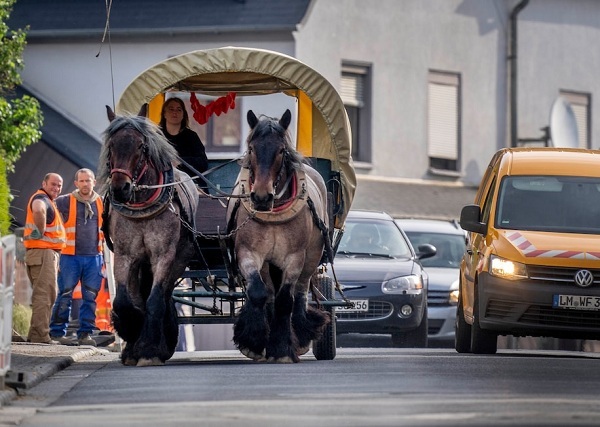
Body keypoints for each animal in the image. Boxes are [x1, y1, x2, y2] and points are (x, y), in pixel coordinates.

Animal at [99, 106, 198, 368]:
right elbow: (124, 300)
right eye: (111, 145)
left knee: (163, 295)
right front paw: (131, 332)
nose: (120, 188)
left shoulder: (164, 255)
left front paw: (149, 349)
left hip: (178, 259)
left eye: (141, 146)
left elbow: (154, 300)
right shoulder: (125, 254)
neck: (143, 206)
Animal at [226, 108, 330, 362]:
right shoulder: (249, 253)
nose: (261, 197)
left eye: (281, 150)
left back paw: (300, 334)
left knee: (300, 292)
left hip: (312, 256)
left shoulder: (295, 258)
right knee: (270, 294)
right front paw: (254, 340)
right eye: (252, 148)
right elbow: (259, 293)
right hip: (268, 263)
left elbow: (286, 300)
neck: (273, 212)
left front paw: (282, 348)